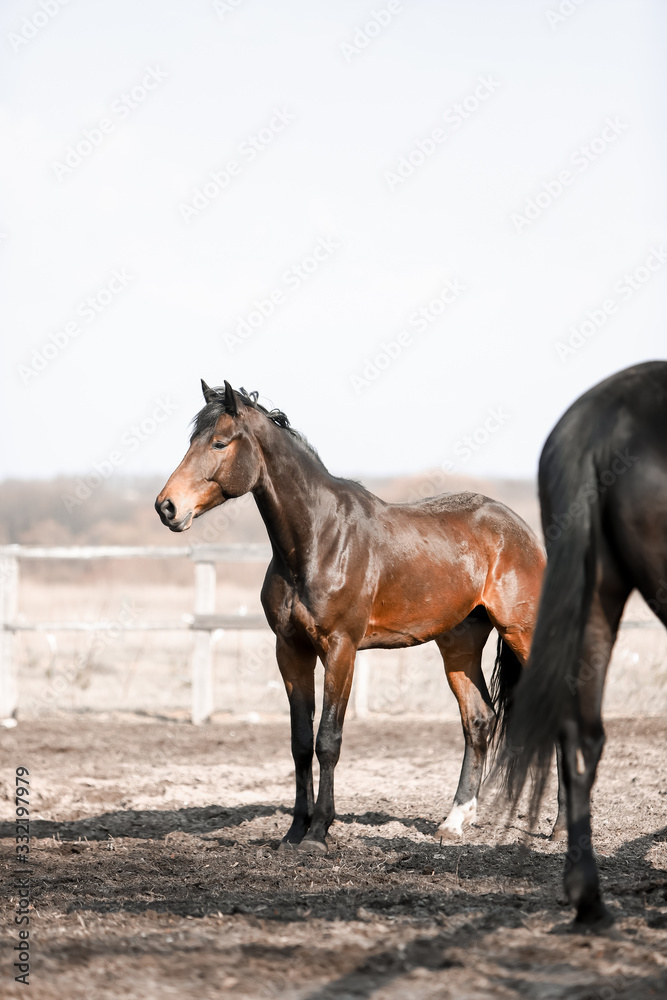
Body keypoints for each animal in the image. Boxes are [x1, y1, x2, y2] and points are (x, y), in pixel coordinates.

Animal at [157, 380, 548, 852]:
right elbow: (300, 742)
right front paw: (294, 831)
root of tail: (520, 530)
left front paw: (319, 833)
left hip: (522, 633)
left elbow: (328, 740)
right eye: (191, 442)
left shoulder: (340, 648)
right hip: (460, 644)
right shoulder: (291, 651)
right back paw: (454, 821)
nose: (167, 507)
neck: (317, 540)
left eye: (219, 442)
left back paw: (560, 828)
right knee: (478, 720)